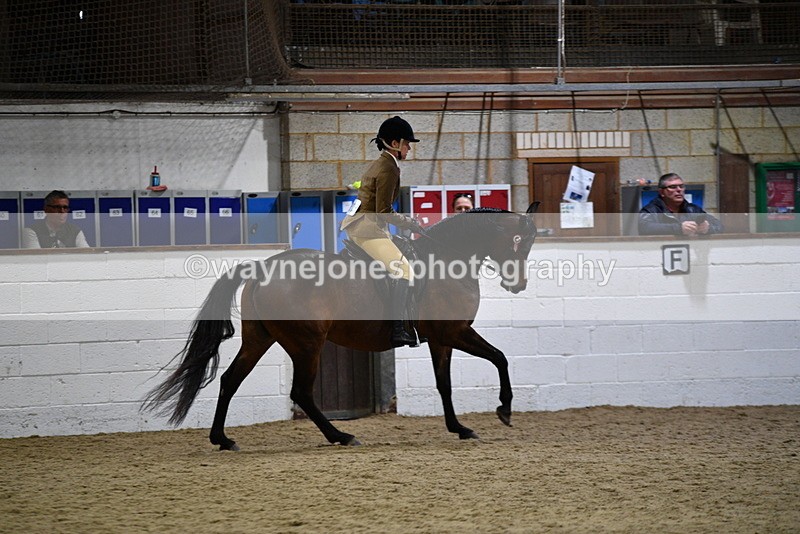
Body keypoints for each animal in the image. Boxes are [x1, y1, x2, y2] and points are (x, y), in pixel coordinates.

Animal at [142, 203, 540, 450]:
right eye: (520, 243)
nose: (519, 284)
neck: (446, 260)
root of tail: (262, 268)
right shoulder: (454, 332)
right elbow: (500, 357)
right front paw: (504, 410)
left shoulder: (441, 339)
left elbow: (446, 384)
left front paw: (460, 428)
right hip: (308, 343)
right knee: (301, 392)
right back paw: (341, 436)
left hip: (261, 339)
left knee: (230, 380)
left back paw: (222, 439)